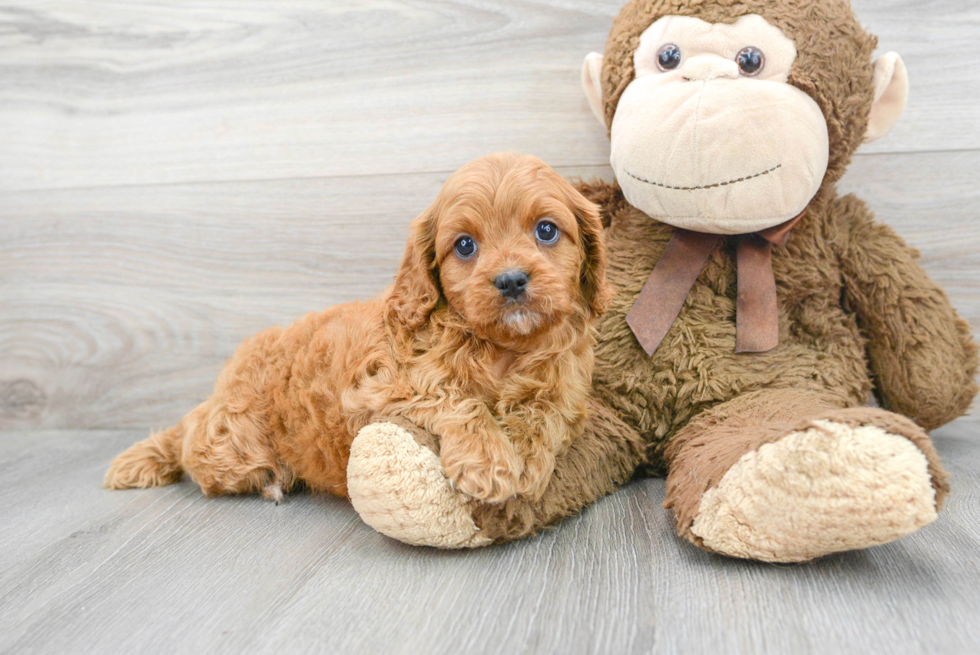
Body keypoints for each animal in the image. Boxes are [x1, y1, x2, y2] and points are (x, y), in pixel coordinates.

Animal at [109, 155, 612, 508]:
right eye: (465, 245)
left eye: (546, 231)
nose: (510, 281)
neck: (501, 347)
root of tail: (222, 387)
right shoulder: (382, 386)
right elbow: (457, 398)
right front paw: (489, 461)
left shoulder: (564, 388)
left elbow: (543, 413)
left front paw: (527, 460)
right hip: (232, 446)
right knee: (192, 439)